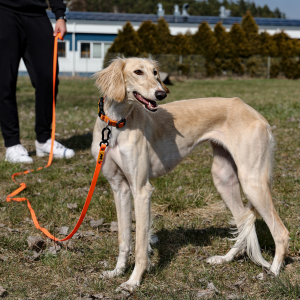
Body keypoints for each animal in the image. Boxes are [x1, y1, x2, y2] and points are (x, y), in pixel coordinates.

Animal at [91, 57, 288, 292]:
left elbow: (140, 245)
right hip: (223, 178)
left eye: (155, 72)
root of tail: (256, 114)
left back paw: (273, 273)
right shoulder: (119, 188)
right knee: (243, 222)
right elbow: (124, 239)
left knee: (280, 232)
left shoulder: (141, 190)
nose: (161, 94)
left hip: (252, 182)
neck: (117, 123)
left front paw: (133, 281)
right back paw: (225, 258)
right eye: (138, 72)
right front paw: (117, 271)